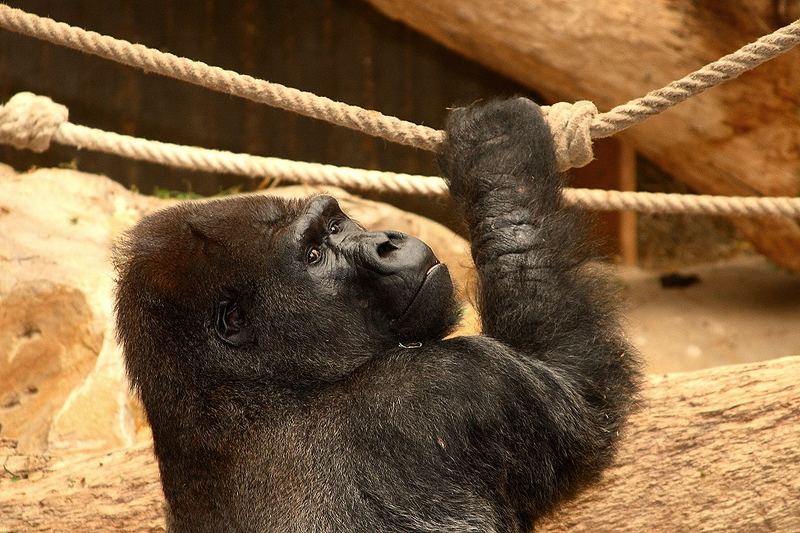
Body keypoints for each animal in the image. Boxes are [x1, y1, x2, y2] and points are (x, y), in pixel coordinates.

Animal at [114, 97, 636, 528]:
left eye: (335, 225)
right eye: (314, 256)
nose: (386, 242)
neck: (240, 398)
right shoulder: (451, 382)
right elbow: (586, 394)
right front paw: (497, 146)